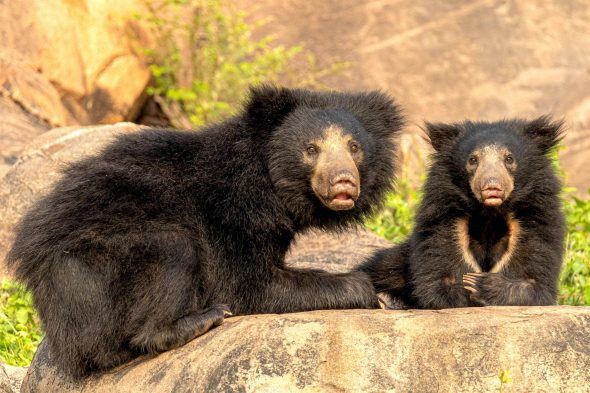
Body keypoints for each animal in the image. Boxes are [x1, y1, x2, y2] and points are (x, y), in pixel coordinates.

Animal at [8, 86, 408, 376]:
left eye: (354, 148)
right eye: (311, 149)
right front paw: (366, 290)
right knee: (172, 250)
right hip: (98, 263)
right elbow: (247, 285)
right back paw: (201, 319)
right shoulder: (233, 212)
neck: (268, 183)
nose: (343, 182)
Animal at [360, 116, 568, 310]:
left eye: (509, 159)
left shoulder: (534, 219)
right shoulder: (444, 219)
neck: (489, 213)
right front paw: (467, 285)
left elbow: (535, 281)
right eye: (473, 160)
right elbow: (436, 279)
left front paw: (480, 284)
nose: (492, 186)